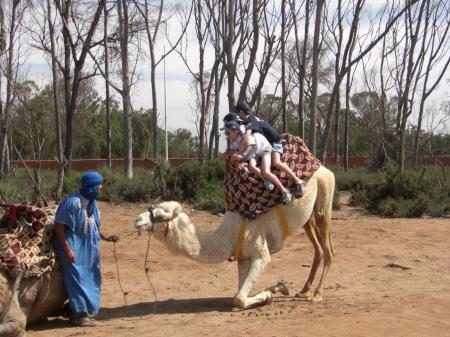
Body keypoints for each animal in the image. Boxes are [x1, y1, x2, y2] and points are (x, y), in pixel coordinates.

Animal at [134, 164, 334, 308]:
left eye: (161, 215)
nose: (137, 220)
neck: (229, 235)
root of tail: (325, 168)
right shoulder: (243, 257)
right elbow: (239, 294)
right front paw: (277, 289)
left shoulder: (260, 253)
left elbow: (239, 299)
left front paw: (271, 294)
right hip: (308, 218)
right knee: (318, 248)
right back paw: (304, 291)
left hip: (325, 197)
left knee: (328, 248)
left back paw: (317, 295)